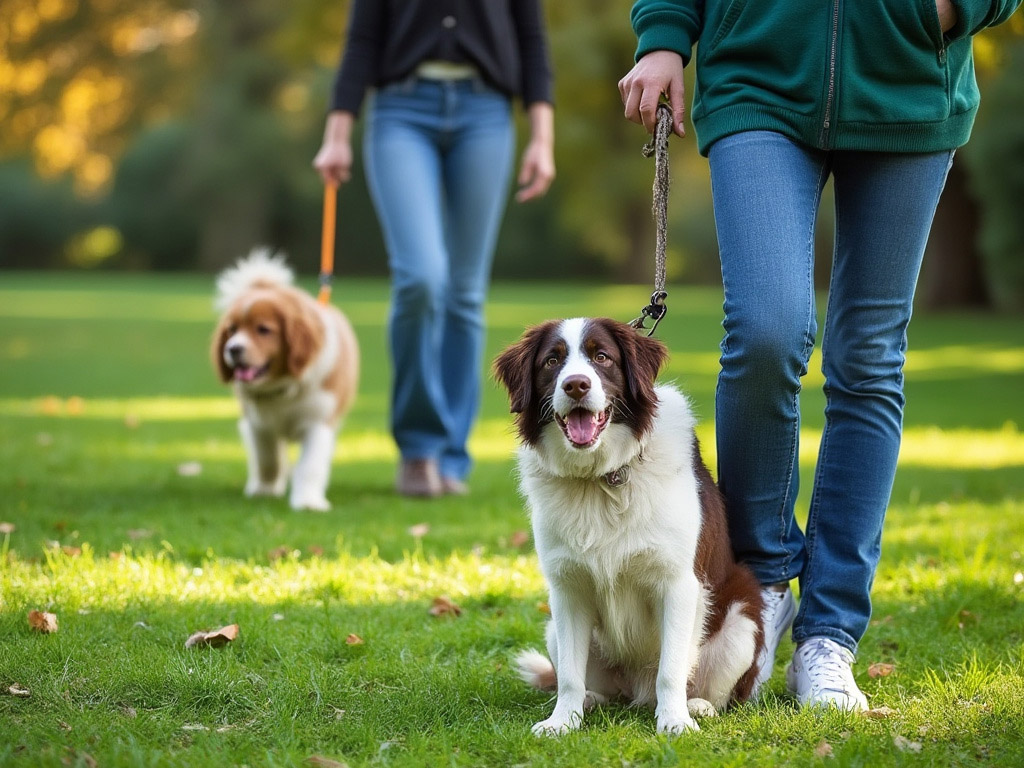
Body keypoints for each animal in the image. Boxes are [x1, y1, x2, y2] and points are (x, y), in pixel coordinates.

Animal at [209, 247, 358, 512]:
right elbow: (268, 459)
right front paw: (265, 490)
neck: (283, 388)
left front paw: (308, 502)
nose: (232, 349)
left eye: (263, 329)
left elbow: (310, 465)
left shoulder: (318, 422)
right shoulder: (258, 423)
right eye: (231, 330)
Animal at [491, 319, 765, 741]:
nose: (575, 385)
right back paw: (591, 701)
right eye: (552, 361)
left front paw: (674, 721)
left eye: (602, 357)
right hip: (554, 628)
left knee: (711, 689)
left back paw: (697, 706)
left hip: (742, 622)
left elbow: (671, 669)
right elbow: (568, 675)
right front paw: (562, 721)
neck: (601, 478)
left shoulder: (678, 584)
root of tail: (638, 692)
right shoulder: (567, 588)